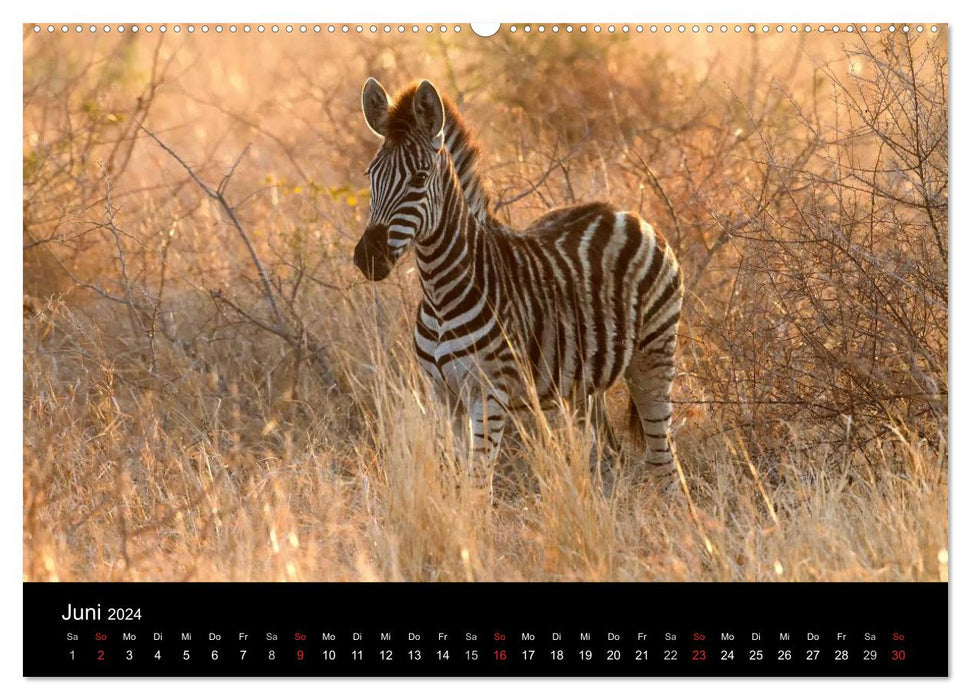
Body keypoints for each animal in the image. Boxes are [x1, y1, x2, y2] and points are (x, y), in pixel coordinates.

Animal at [352, 79, 684, 478]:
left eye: (419, 178)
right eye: (370, 175)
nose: (367, 258)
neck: (440, 294)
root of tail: (627, 213)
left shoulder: (489, 396)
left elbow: (477, 482)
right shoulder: (444, 396)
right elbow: (456, 477)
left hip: (653, 355)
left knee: (664, 461)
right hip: (584, 384)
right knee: (607, 453)